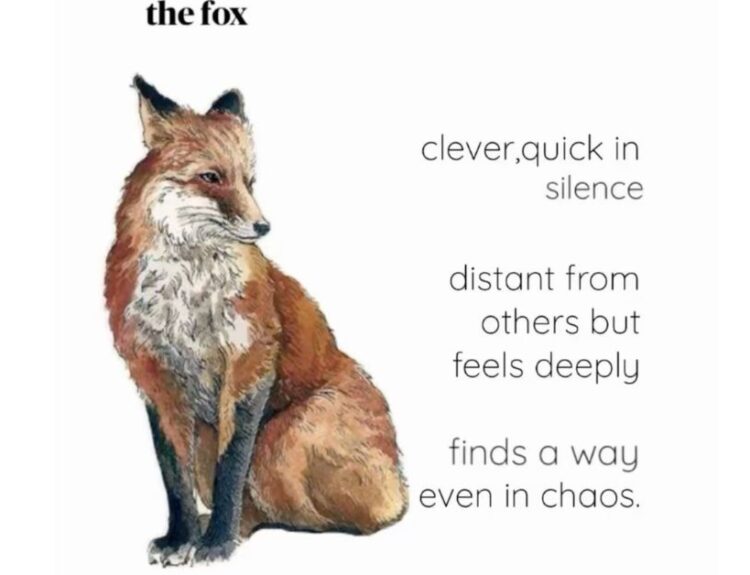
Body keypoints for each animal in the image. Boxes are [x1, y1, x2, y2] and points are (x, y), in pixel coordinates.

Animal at [105, 76, 407, 566]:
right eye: (212, 177)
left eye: (249, 181)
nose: (263, 227)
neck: (187, 293)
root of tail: (400, 484)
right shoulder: (153, 375)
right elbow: (174, 478)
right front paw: (181, 537)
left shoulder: (249, 365)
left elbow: (232, 470)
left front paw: (216, 543)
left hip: (283, 441)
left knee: (330, 516)